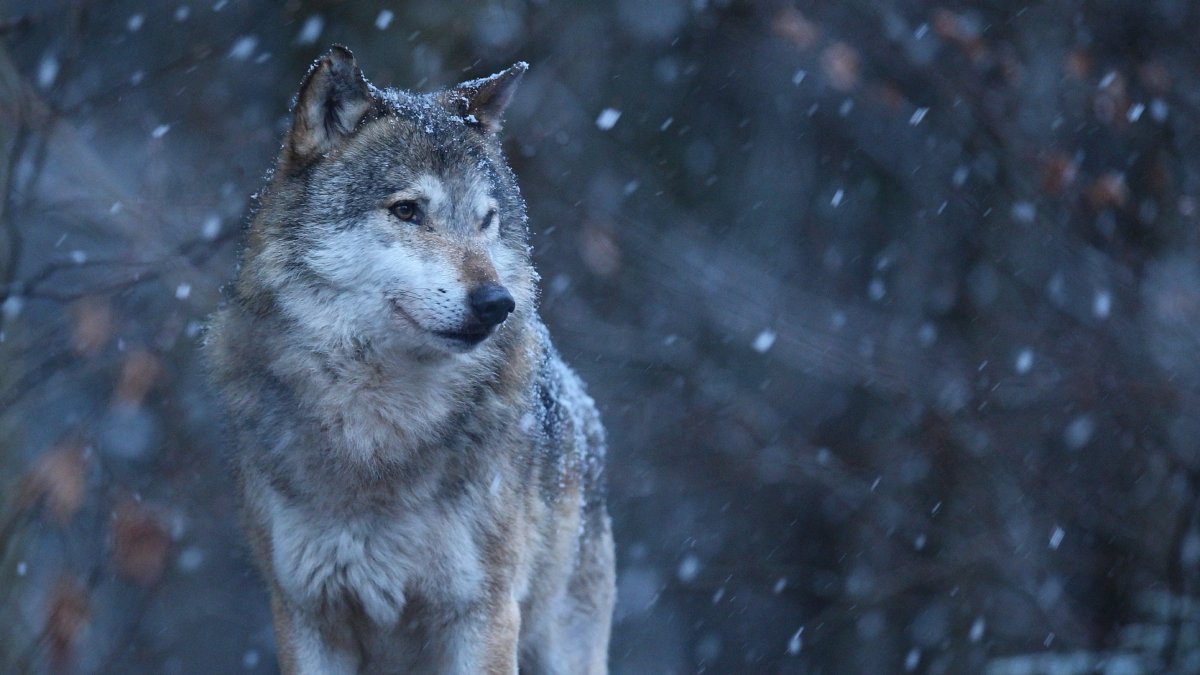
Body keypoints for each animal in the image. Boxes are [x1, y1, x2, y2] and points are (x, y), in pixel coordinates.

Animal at [205, 46, 614, 674]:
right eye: (407, 211)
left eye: (487, 220)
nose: (497, 303)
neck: (379, 431)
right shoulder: (305, 614)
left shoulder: (482, 615)